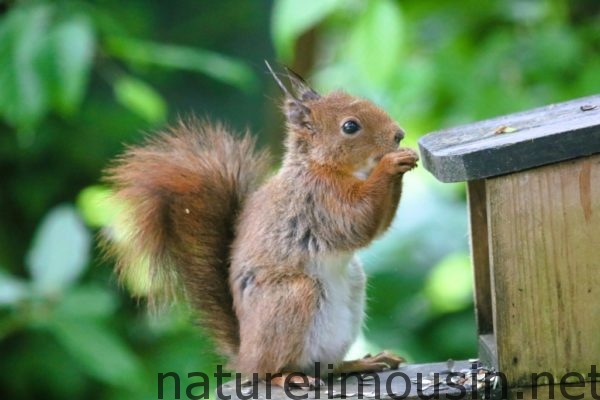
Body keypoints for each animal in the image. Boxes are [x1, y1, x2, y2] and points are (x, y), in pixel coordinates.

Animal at [103, 63, 419, 387]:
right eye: (350, 127)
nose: (399, 134)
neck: (320, 166)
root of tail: (245, 357)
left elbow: (377, 225)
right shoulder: (318, 200)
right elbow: (357, 221)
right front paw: (391, 164)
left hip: (352, 287)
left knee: (326, 368)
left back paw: (359, 363)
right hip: (292, 298)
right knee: (268, 372)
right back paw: (289, 377)